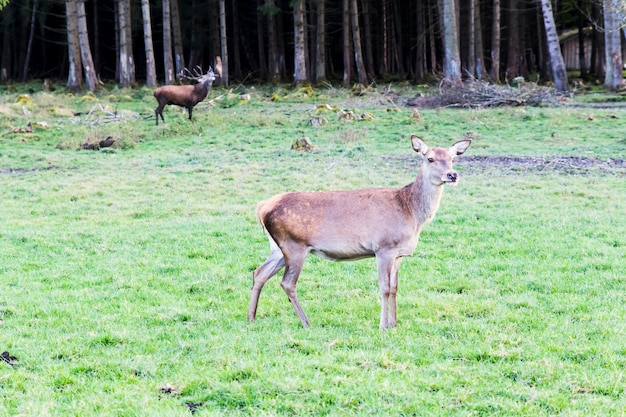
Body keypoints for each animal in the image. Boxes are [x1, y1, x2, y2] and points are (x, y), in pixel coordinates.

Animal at [246, 136, 470, 328]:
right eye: (430, 158)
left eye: (452, 158)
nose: (452, 175)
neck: (411, 212)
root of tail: (262, 207)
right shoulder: (383, 248)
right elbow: (384, 287)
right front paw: (383, 325)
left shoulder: (399, 253)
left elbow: (395, 287)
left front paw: (395, 323)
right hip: (294, 245)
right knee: (287, 283)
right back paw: (306, 322)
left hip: (278, 248)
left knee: (259, 272)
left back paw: (251, 318)